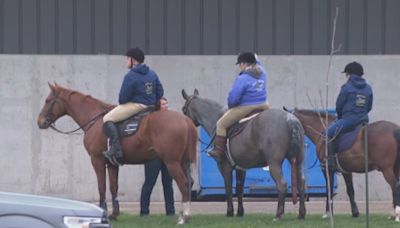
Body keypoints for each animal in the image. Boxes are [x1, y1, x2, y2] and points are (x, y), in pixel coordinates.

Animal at [37, 83, 197, 224]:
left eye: (48, 101)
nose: (40, 122)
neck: (95, 120)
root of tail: (186, 120)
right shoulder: (112, 164)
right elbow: (114, 187)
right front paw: (114, 214)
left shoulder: (97, 160)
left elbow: (102, 186)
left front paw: (103, 212)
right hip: (183, 162)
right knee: (189, 183)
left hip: (172, 162)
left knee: (183, 184)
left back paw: (183, 218)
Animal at [181, 88, 306, 219]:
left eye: (183, 109)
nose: (185, 126)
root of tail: (289, 119)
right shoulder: (241, 168)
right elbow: (239, 189)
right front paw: (240, 212)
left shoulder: (224, 167)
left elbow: (228, 188)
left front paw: (230, 212)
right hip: (298, 160)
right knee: (301, 183)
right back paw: (301, 214)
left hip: (274, 164)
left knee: (281, 184)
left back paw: (278, 214)